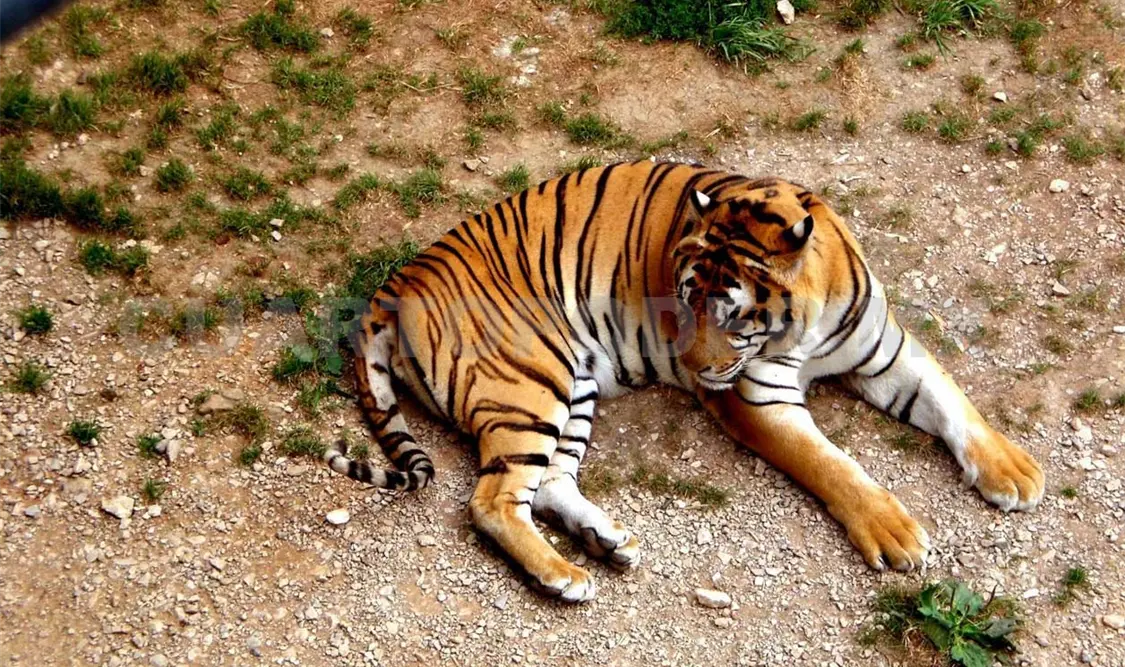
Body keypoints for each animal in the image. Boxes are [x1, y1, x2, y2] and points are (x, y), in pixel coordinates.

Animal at [323, 160, 1045, 602]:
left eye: (731, 312)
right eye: (684, 300)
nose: (695, 370)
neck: (806, 321)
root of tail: (398, 279)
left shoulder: (885, 351)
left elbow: (951, 399)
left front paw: (1013, 471)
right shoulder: (755, 399)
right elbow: (829, 464)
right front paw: (894, 534)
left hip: (572, 385)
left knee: (547, 482)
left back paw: (605, 542)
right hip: (532, 383)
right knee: (492, 500)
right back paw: (563, 575)